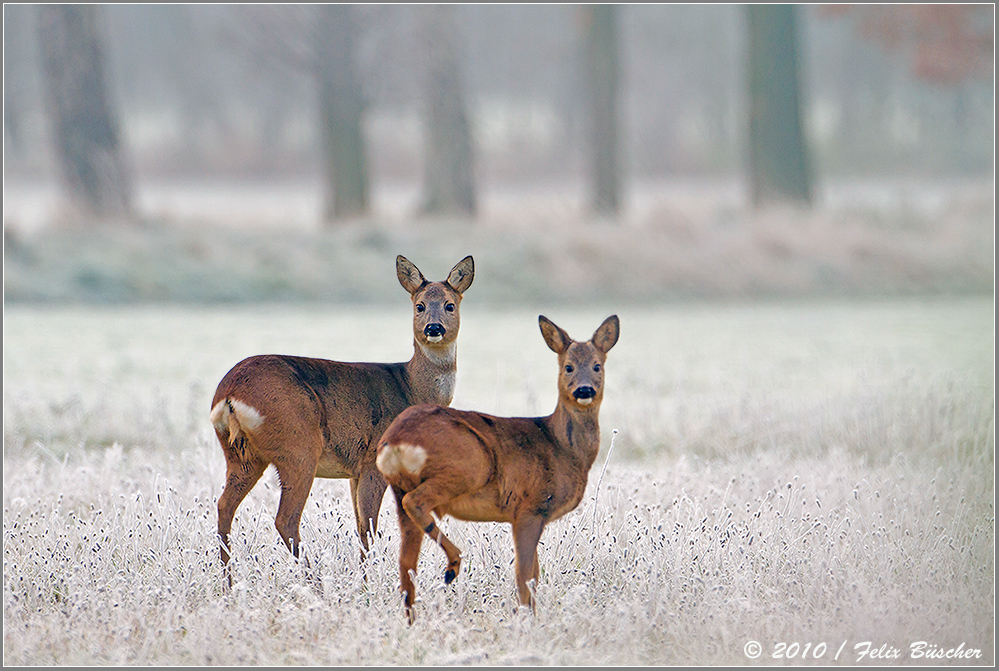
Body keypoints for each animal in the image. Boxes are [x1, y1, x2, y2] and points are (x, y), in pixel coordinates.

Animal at [209, 255, 474, 584]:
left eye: (450, 304)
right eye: (420, 305)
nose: (434, 328)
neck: (411, 387)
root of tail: (230, 394)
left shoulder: (354, 471)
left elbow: (360, 526)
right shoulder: (374, 460)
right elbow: (370, 529)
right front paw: (367, 584)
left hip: (242, 456)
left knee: (224, 506)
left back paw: (228, 583)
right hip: (298, 446)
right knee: (285, 519)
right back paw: (315, 583)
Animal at [378, 312, 620, 624]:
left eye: (597, 366)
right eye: (568, 367)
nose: (584, 390)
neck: (560, 447)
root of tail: (394, 438)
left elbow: (534, 574)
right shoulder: (529, 508)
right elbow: (525, 575)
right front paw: (528, 619)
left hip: (399, 489)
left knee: (406, 563)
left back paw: (413, 619)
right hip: (468, 465)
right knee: (416, 503)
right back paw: (453, 566)